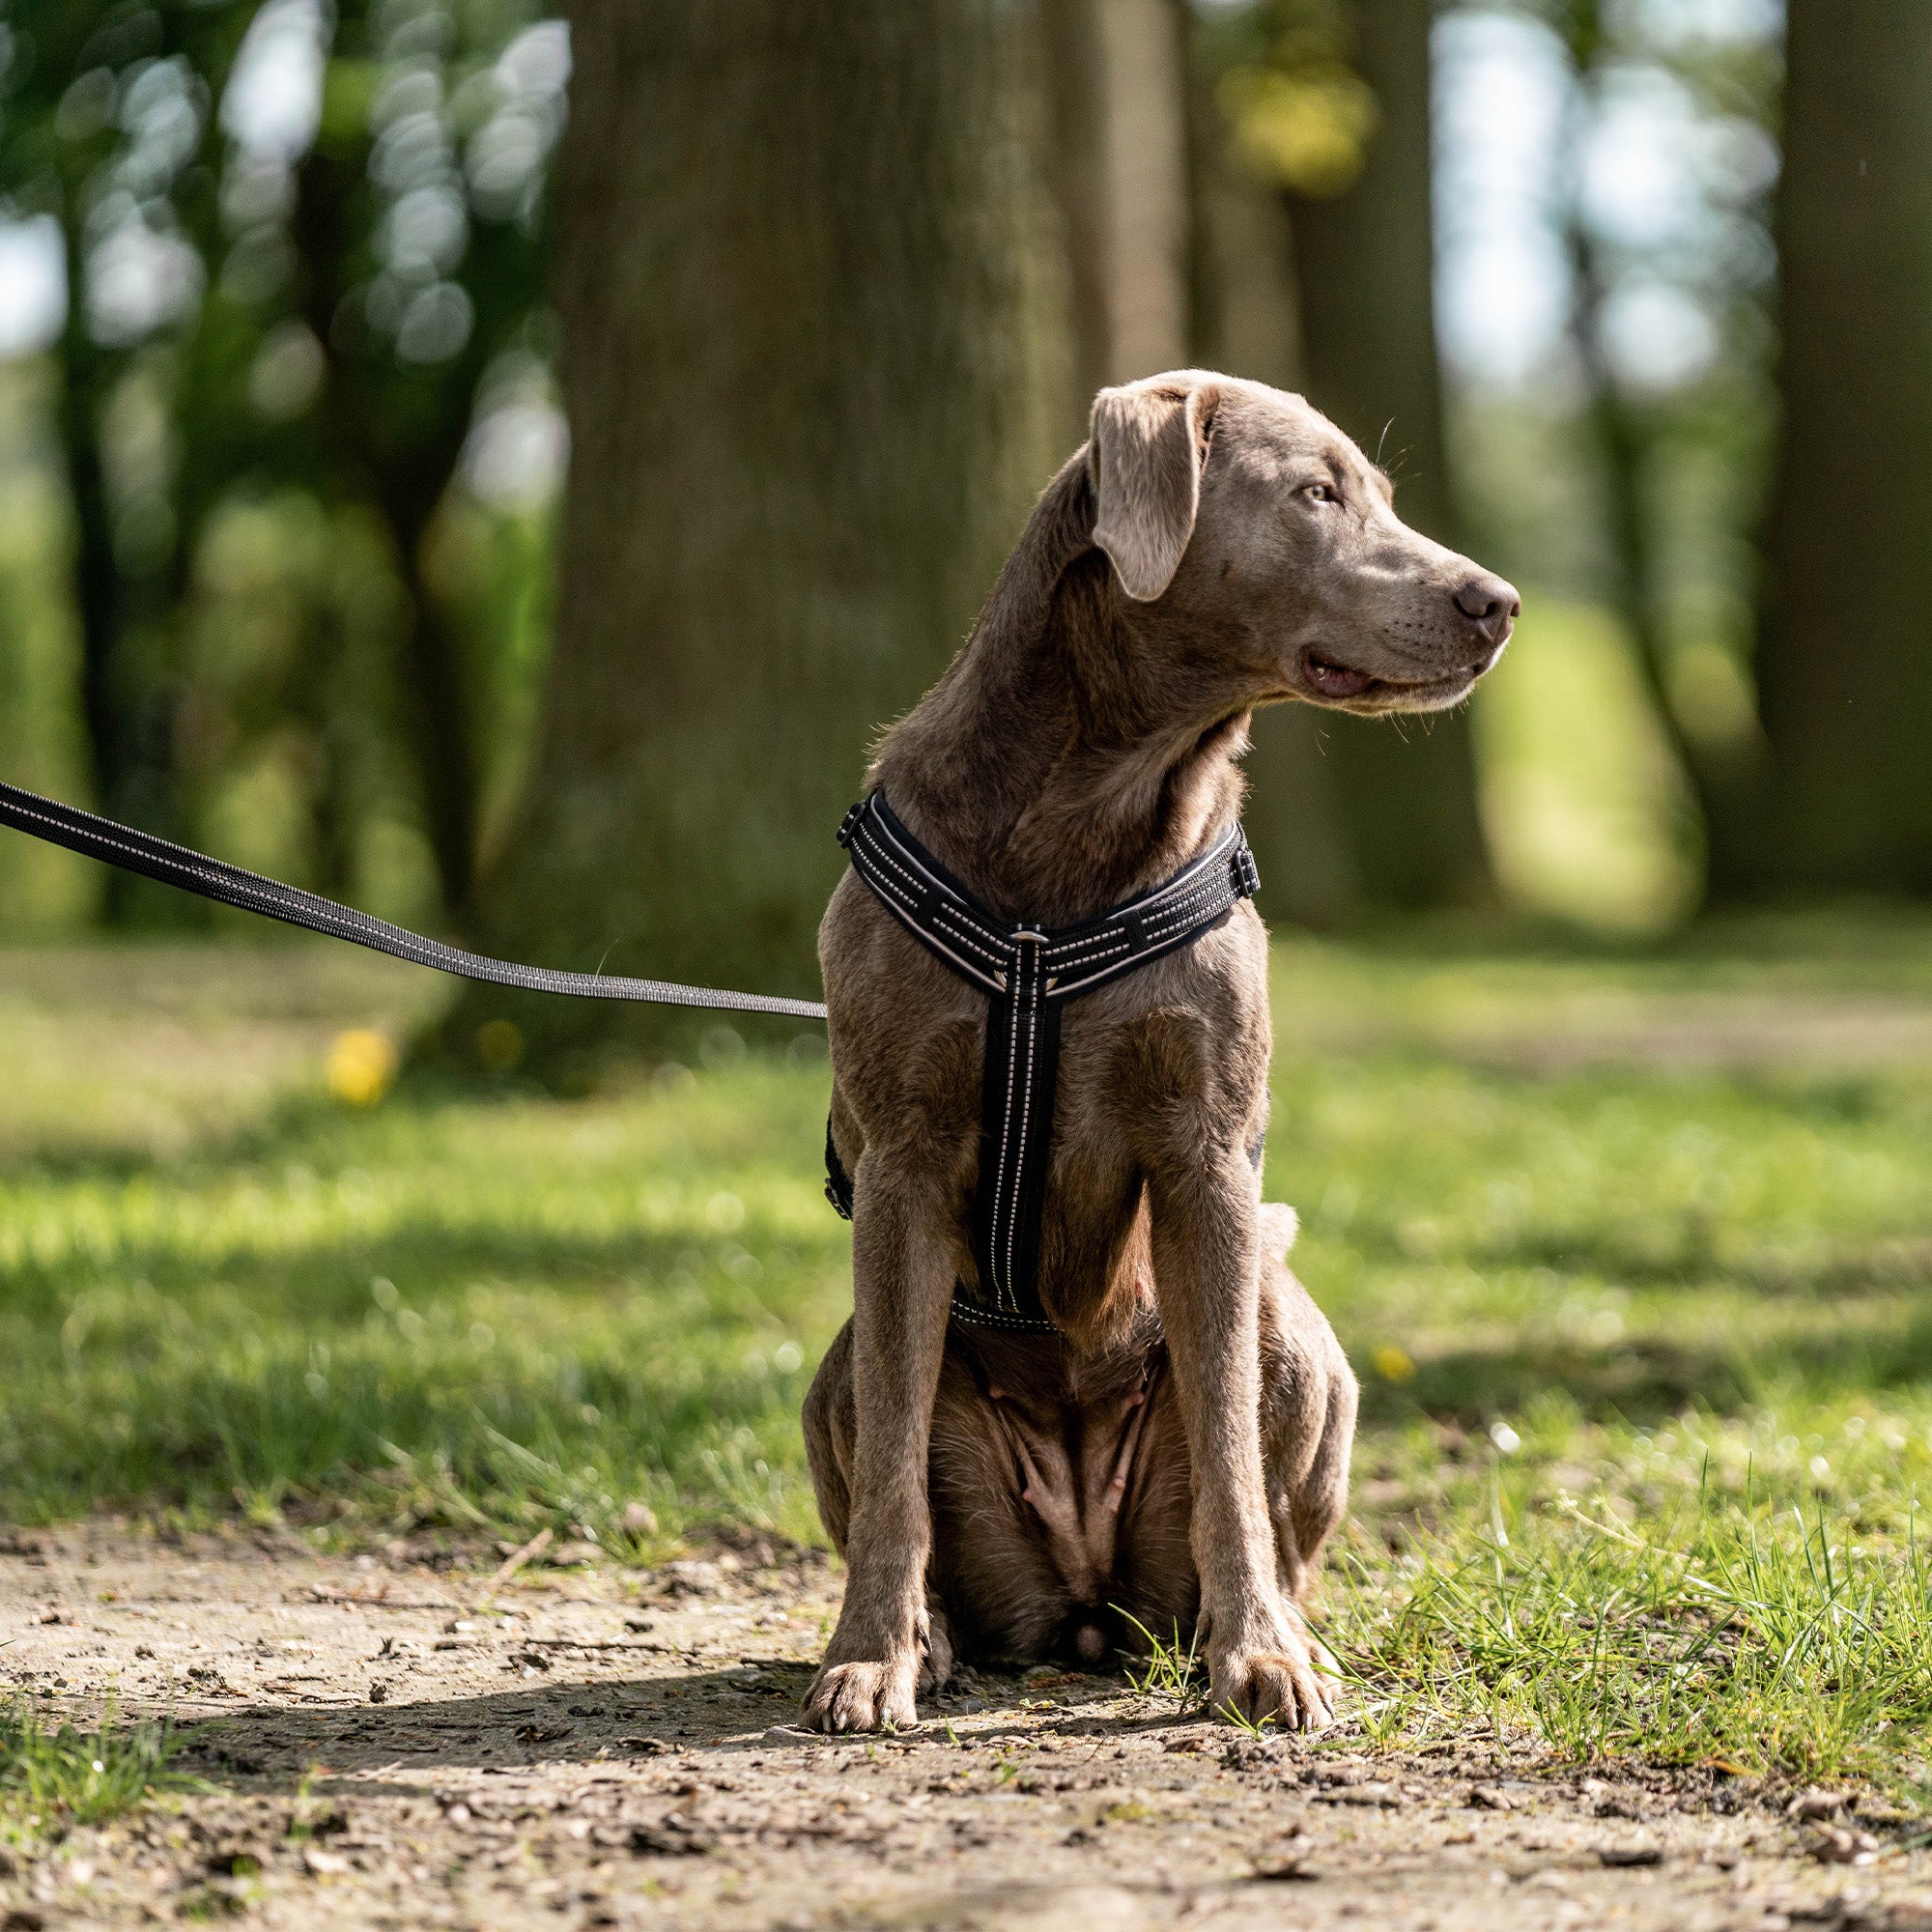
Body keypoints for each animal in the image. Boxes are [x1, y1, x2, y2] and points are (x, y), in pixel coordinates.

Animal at [796, 369, 1507, 1731]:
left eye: (1380, 492)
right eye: (1315, 492)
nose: (1494, 602)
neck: (1085, 815)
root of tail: (1083, 1598)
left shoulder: (1204, 1156)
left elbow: (1227, 1437)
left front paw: (1263, 1657)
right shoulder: (903, 1159)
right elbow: (897, 1463)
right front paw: (868, 1657)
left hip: (1299, 1330)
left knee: (1280, 1497)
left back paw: (1283, 1628)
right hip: (835, 1369)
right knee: (887, 1439)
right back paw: (936, 1633)